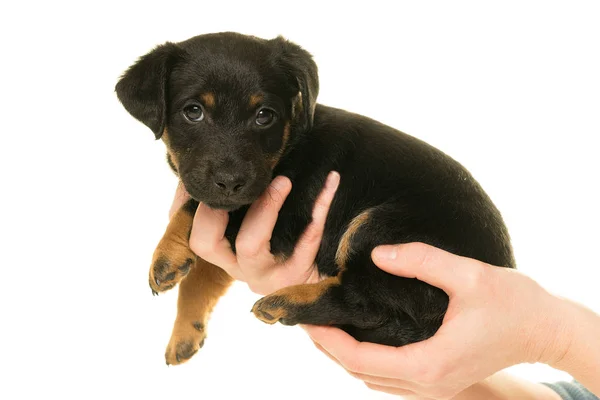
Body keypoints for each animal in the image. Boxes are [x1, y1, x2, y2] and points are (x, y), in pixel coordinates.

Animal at [115, 32, 512, 366]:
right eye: (193, 111)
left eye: (265, 116)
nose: (231, 183)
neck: (288, 144)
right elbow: (202, 277)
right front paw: (184, 332)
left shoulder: (274, 215)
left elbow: (194, 207)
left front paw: (166, 254)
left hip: (380, 227)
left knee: (363, 301)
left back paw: (285, 303)